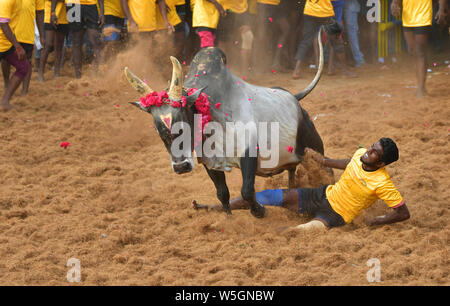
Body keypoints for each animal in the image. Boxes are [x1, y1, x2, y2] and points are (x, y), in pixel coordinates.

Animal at [125, 28, 326, 219]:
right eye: (158, 129)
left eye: (182, 120)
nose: (181, 167)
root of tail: (294, 97)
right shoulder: (210, 162)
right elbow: (222, 194)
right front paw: (229, 219)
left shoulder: (248, 152)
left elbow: (247, 191)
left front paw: (260, 211)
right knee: (292, 176)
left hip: (315, 146)